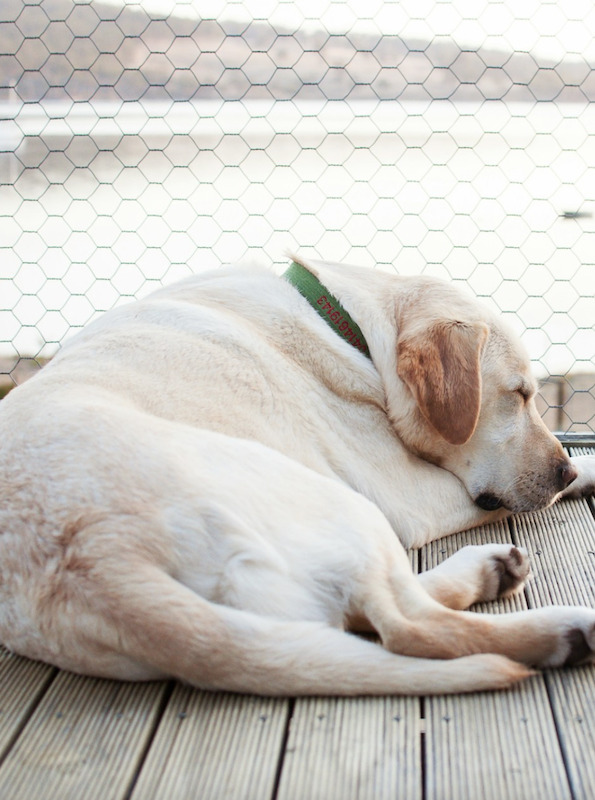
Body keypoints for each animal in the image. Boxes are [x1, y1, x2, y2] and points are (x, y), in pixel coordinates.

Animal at [1, 256, 595, 692]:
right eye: (519, 395)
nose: (563, 473)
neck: (350, 331)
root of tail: (97, 561)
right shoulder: (409, 496)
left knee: (356, 615)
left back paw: (490, 571)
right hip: (341, 504)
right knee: (412, 628)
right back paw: (564, 630)